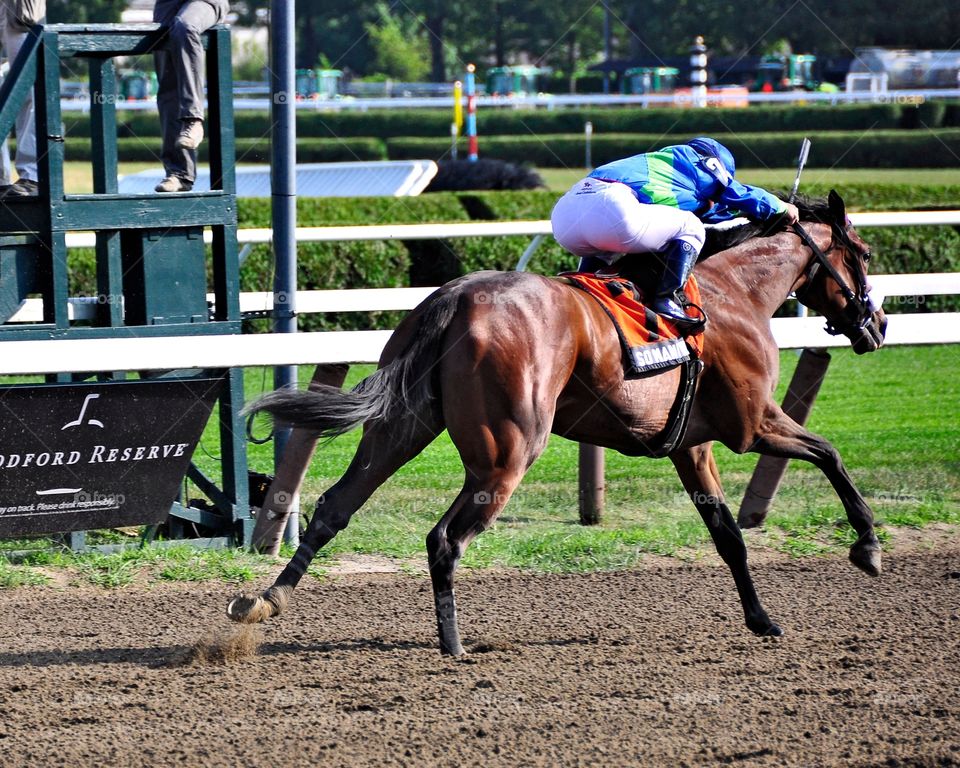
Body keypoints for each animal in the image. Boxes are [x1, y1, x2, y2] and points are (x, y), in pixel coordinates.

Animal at [231, 188, 884, 656]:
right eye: (864, 254)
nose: (876, 325)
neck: (734, 291)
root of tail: (454, 298)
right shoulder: (751, 425)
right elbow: (829, 453)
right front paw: (867, 546)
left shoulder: (691, 446)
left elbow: (728, 535)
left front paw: (762, 619)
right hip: (508, 453)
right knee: (444, 538)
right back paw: (453, 644)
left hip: (401, 428)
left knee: (335, 507)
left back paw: (263, 601)